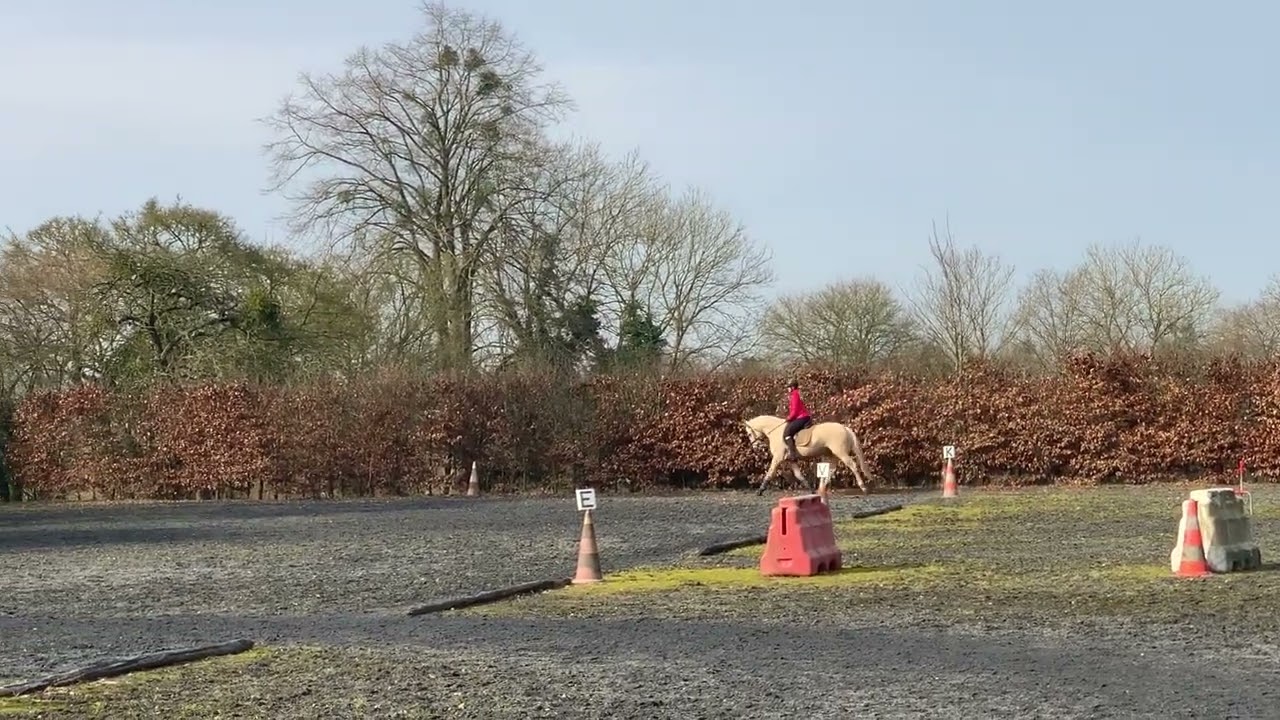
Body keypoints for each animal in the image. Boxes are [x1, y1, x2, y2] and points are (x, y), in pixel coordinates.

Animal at [741, 414, 877, 497]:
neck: (775, 431)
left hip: (841, 453)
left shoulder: (778, 458)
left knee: (852, 465)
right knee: (831, 469)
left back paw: (863, 488)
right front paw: (810, 489)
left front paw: (760, 490)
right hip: (832, 454)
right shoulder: (790, 460)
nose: (756, 447)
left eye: (749, 433)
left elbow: (770, 473)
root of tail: (845, 428)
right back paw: (821, 489)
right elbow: (798, 475)